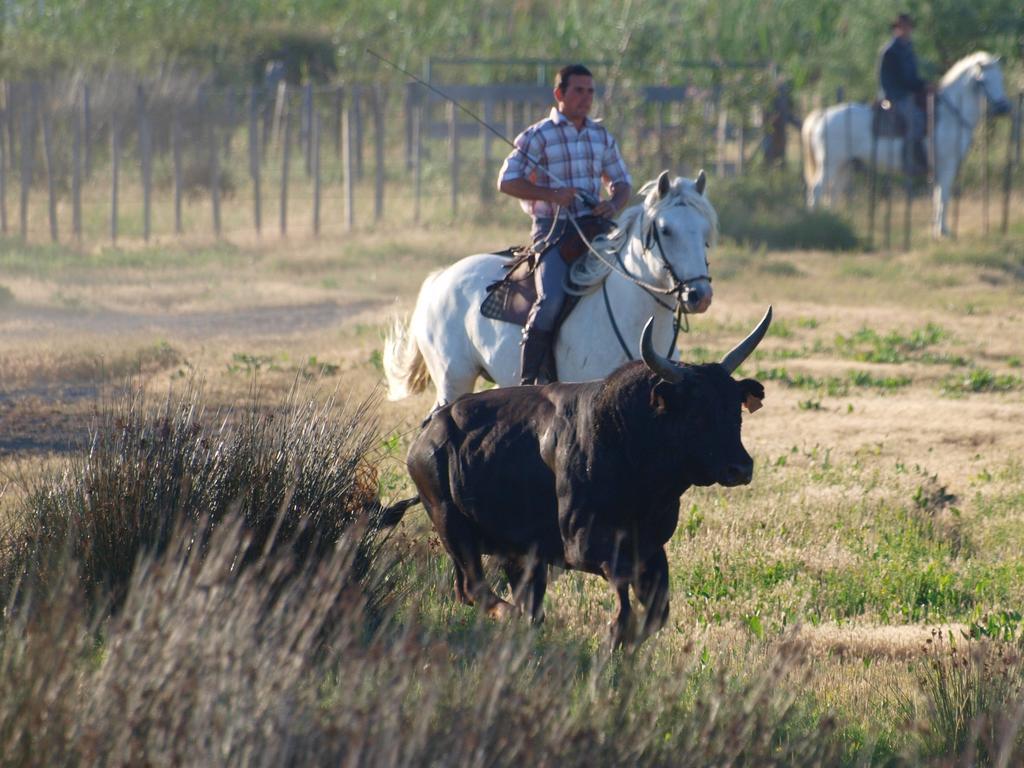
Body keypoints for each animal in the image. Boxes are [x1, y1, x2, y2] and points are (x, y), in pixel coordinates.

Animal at [385, 172, 720, 415]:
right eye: (665, 230)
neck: (636, 322)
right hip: (453, 380)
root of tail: (440, 277)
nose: (699, 295)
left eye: (706, 232)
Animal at [387, 307, 770, 651]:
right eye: (696, 412)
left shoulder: (650, 547)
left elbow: (656, 612)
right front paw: (615, 635)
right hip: (452, 527)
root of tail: (429, 433)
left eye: (735, 409)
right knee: (474, 589)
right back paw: (511, 617)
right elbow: (621, 589)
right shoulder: (582, 543)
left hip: (518, 553)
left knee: (517, 601)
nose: (740, 468)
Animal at [802, 51, 1011, 237]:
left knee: (832, 192)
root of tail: (822, 116)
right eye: (983, 81)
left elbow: (938, 196)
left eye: (1001, 78)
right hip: (830, 164)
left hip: (844, 166)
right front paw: (943, 231)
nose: (1004, 108)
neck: (949, 114)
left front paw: (938, 228)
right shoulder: (947, 165)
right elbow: (944, 195)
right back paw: (815, 223)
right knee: (817, 190)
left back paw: (833, 221)